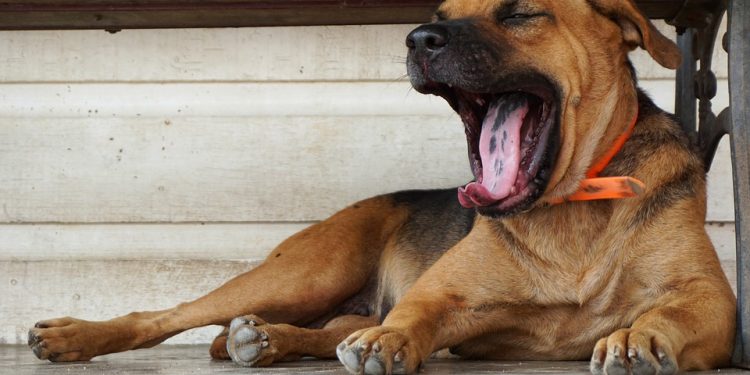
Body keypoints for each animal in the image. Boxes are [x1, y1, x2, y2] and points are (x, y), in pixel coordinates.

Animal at [26, 0, 736, 375]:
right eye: (441, 13)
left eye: (522, 13)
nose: (418, 37)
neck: (572, 205)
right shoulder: (442, 293)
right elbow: (413, 315)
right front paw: (391, 342)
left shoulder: (712, 304)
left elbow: (668, 311)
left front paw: (641, 336)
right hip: (306, 272)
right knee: (166, 315)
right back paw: (74, 336)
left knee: (328, 328)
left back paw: (268, 339)